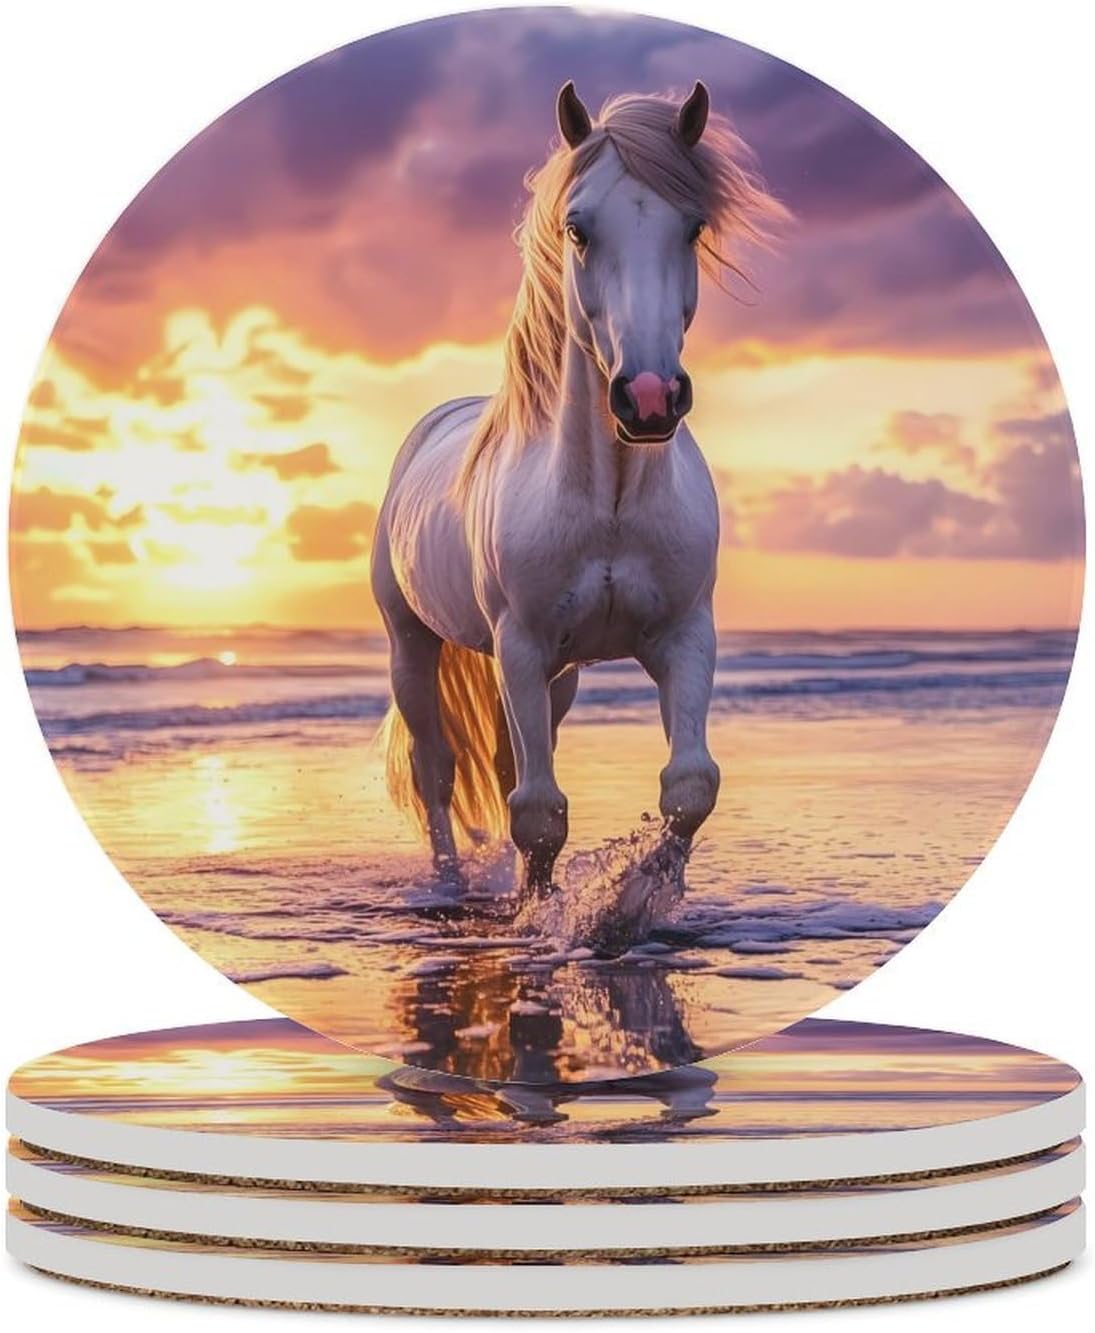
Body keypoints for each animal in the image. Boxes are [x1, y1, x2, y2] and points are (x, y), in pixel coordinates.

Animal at [372, 81, 781, 901]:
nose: (649, 398)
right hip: (415, 645)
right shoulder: (520, 646)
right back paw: (453, 884)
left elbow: (689, 785)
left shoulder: (684, 636)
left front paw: (639, 900)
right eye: (578, 229)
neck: (610, 506)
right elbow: (537, 813)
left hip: (556, 676)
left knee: (506, 762)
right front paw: (545, 915)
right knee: (438, 772)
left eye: (694, 227)